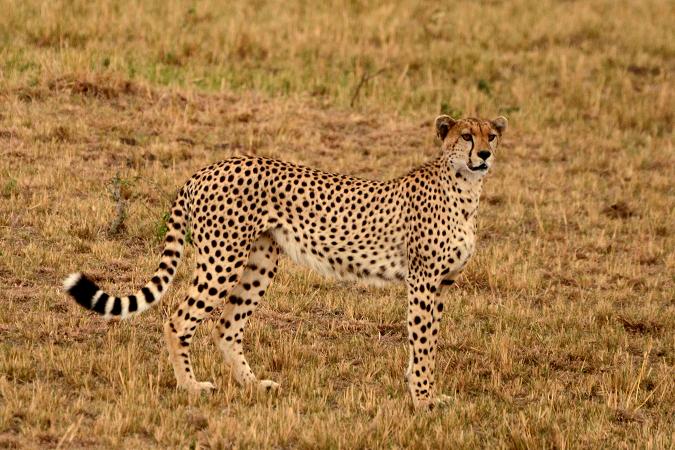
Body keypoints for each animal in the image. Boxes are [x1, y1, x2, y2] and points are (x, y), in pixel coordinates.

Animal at [63, 114, 508, 410]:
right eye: (466, 136)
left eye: (491, 135)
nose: (485, 155)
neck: (464, 187)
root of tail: (206, 168)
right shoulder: (423, 279)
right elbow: (424, 340)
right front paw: (424, 399)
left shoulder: (441, 283)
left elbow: (425, 341)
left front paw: (422, 390)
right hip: (222, 259)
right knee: (178, 319)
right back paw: (191, 388)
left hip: (260, 262)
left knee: (227, 325)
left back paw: (252, 384)